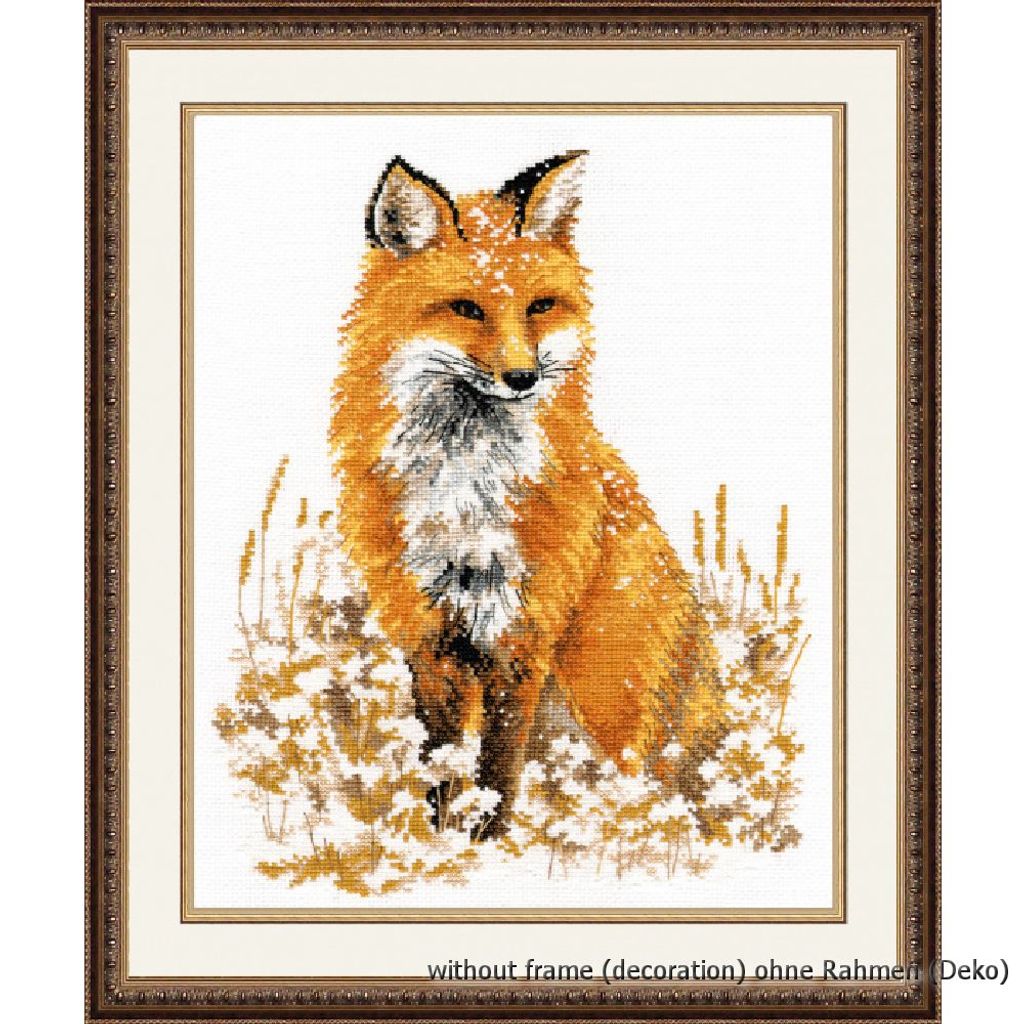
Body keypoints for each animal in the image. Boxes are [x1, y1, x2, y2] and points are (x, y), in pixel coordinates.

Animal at [330, 151, 724, 836]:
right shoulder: (429, 638)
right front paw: (441, 842)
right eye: (466, 309)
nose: (523, 377)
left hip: (603, 698)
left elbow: (499, 769)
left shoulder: (523, 637)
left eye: (540, 306)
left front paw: (490, 843)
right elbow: (443, 764)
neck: (467, 495)